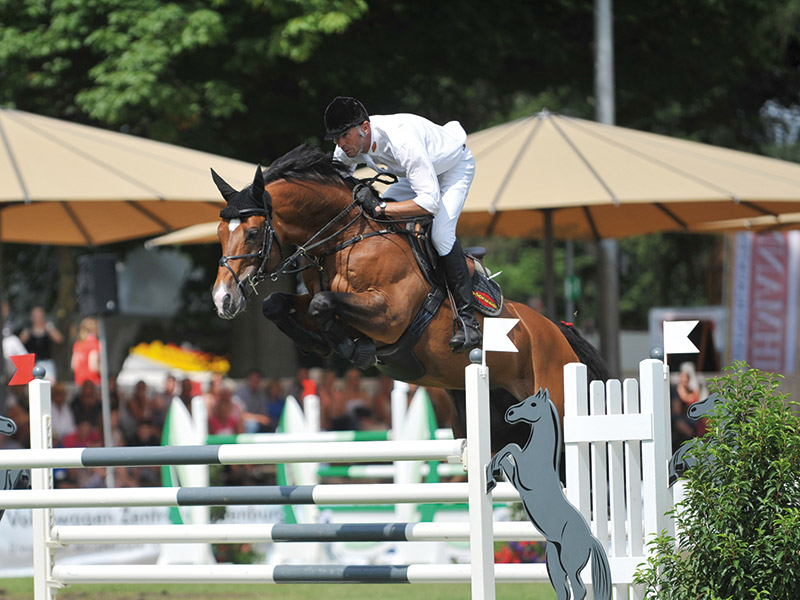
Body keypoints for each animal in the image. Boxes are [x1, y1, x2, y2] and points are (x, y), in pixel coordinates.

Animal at [210, 144, 609, 452]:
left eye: (253, 233)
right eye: (219, 233)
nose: (222, 299)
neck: (347, 239)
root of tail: (557, 330)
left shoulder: (389, 315)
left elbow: (325, 305)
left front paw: (352, 349)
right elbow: (279, 304)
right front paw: (319, 344)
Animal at [486, 389, 611, 600]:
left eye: (533, 404)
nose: (509, 413)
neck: (538, 454)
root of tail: (591, 539)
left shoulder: (522, 476)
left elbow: (512, 447)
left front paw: (491, 476)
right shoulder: (516, 480)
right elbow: (507, 454)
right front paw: (492, 475)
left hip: (569, 562)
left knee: (579, 589)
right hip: (553, 561)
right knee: (563, 590)